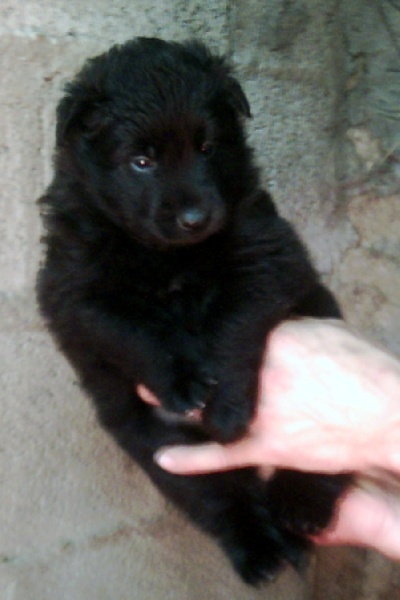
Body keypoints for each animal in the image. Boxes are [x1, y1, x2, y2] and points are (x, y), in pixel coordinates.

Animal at [37, 38, 349, 585]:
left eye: (208, 147)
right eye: (141, 161)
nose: (195, 218)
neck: (168, 257)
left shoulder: (266, 255)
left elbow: (233, 324)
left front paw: (226, 408)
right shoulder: (74, 290)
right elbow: (132, 329)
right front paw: (181, 381)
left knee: (318, 467)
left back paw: (300, 508)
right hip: (163, 449)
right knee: (218, 499)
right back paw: (260, 550)